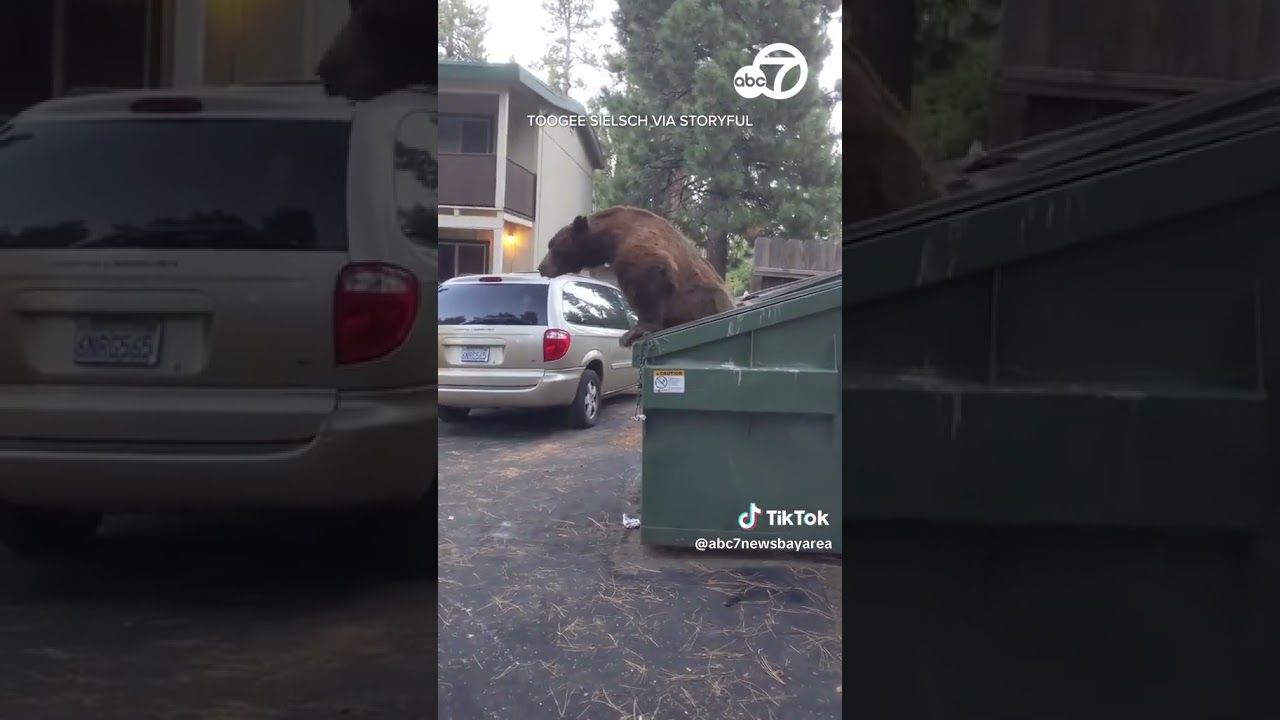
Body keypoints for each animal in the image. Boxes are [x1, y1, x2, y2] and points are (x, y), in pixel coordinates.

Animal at [532, 206, 732, 345]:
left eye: (553, 246)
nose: (542, 267)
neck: (610, 240)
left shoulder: (639, 246)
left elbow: (648, 282)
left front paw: (634, 332)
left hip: (705, 303)